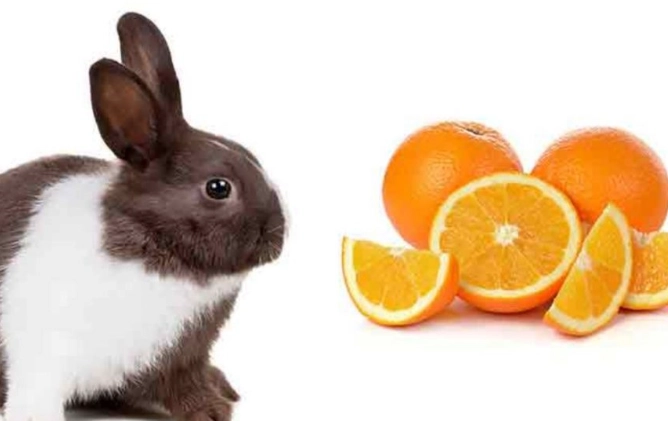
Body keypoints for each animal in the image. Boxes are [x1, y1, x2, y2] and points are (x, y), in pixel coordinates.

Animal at [0, 11, 285, 421]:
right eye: (218, 188)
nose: (278, 234)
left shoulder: (182, 358)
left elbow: (187, 386)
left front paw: (212, 410)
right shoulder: (41, 352)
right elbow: (35, 393)